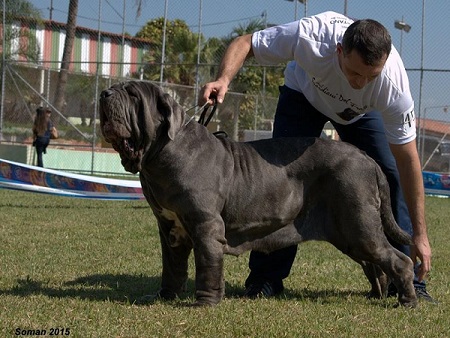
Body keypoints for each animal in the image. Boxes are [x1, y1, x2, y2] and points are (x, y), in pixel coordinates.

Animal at [100, 80, 416, 308]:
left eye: (132, 95)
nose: (104, 93)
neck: (161, 155)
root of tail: (367, 159)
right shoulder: (169, 229)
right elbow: (172, 266)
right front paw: (164, 296)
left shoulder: (205, 225)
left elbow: (207, 265)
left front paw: (205, 303)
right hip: (349, 234)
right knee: (375, 263)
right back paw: (377, 295)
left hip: (358, 224)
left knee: (400, 260)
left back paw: (407, 301)